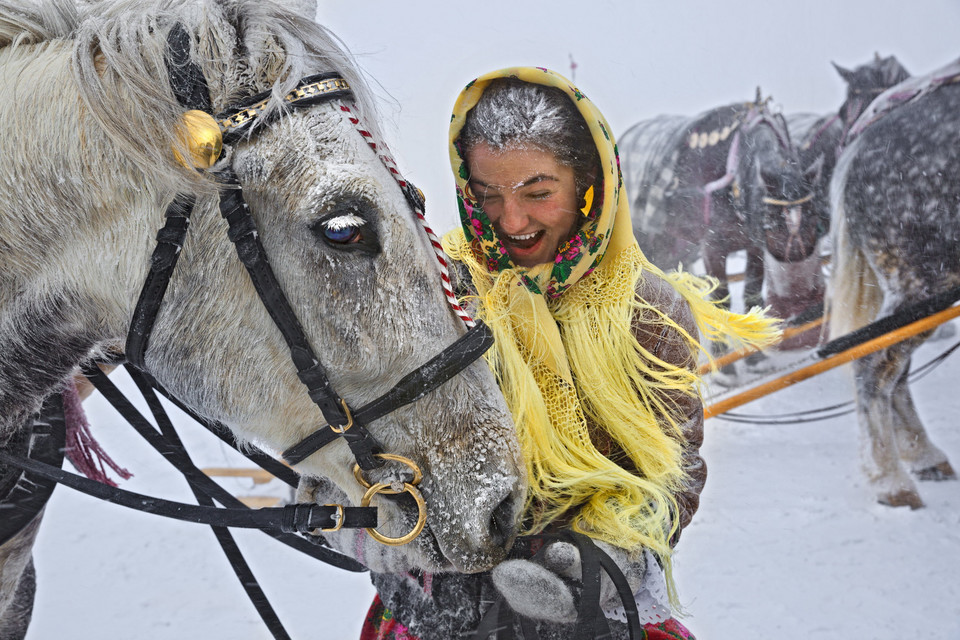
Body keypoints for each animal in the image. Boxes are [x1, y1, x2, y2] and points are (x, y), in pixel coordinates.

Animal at [620, 94, 820, 320]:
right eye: (772, 216)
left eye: (813, 213)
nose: (796, 256)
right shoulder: (713, 246)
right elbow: (721, 298)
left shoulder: (754, 246)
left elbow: (752, 292)